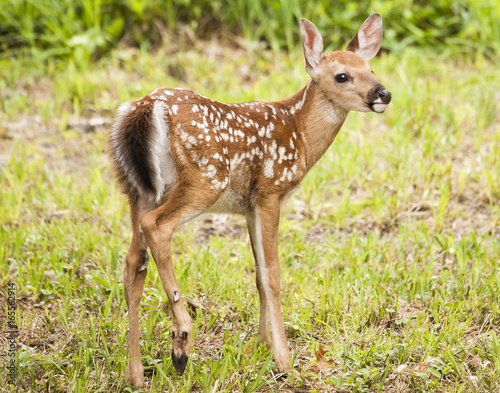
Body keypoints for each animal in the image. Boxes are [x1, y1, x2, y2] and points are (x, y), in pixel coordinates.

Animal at [109, 13, 390, 384]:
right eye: (342, 75)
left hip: (137, 189)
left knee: (133, 262)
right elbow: (273, 275)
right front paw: (285, 361)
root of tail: (145, 109)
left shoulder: (248, 206)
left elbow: (257, 275)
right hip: (205, 177)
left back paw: (136, 374)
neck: (300, 134)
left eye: (371, 68)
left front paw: (262, 344)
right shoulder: (271, 190)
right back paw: (181, 340)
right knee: (157, 227)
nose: (383, 93)